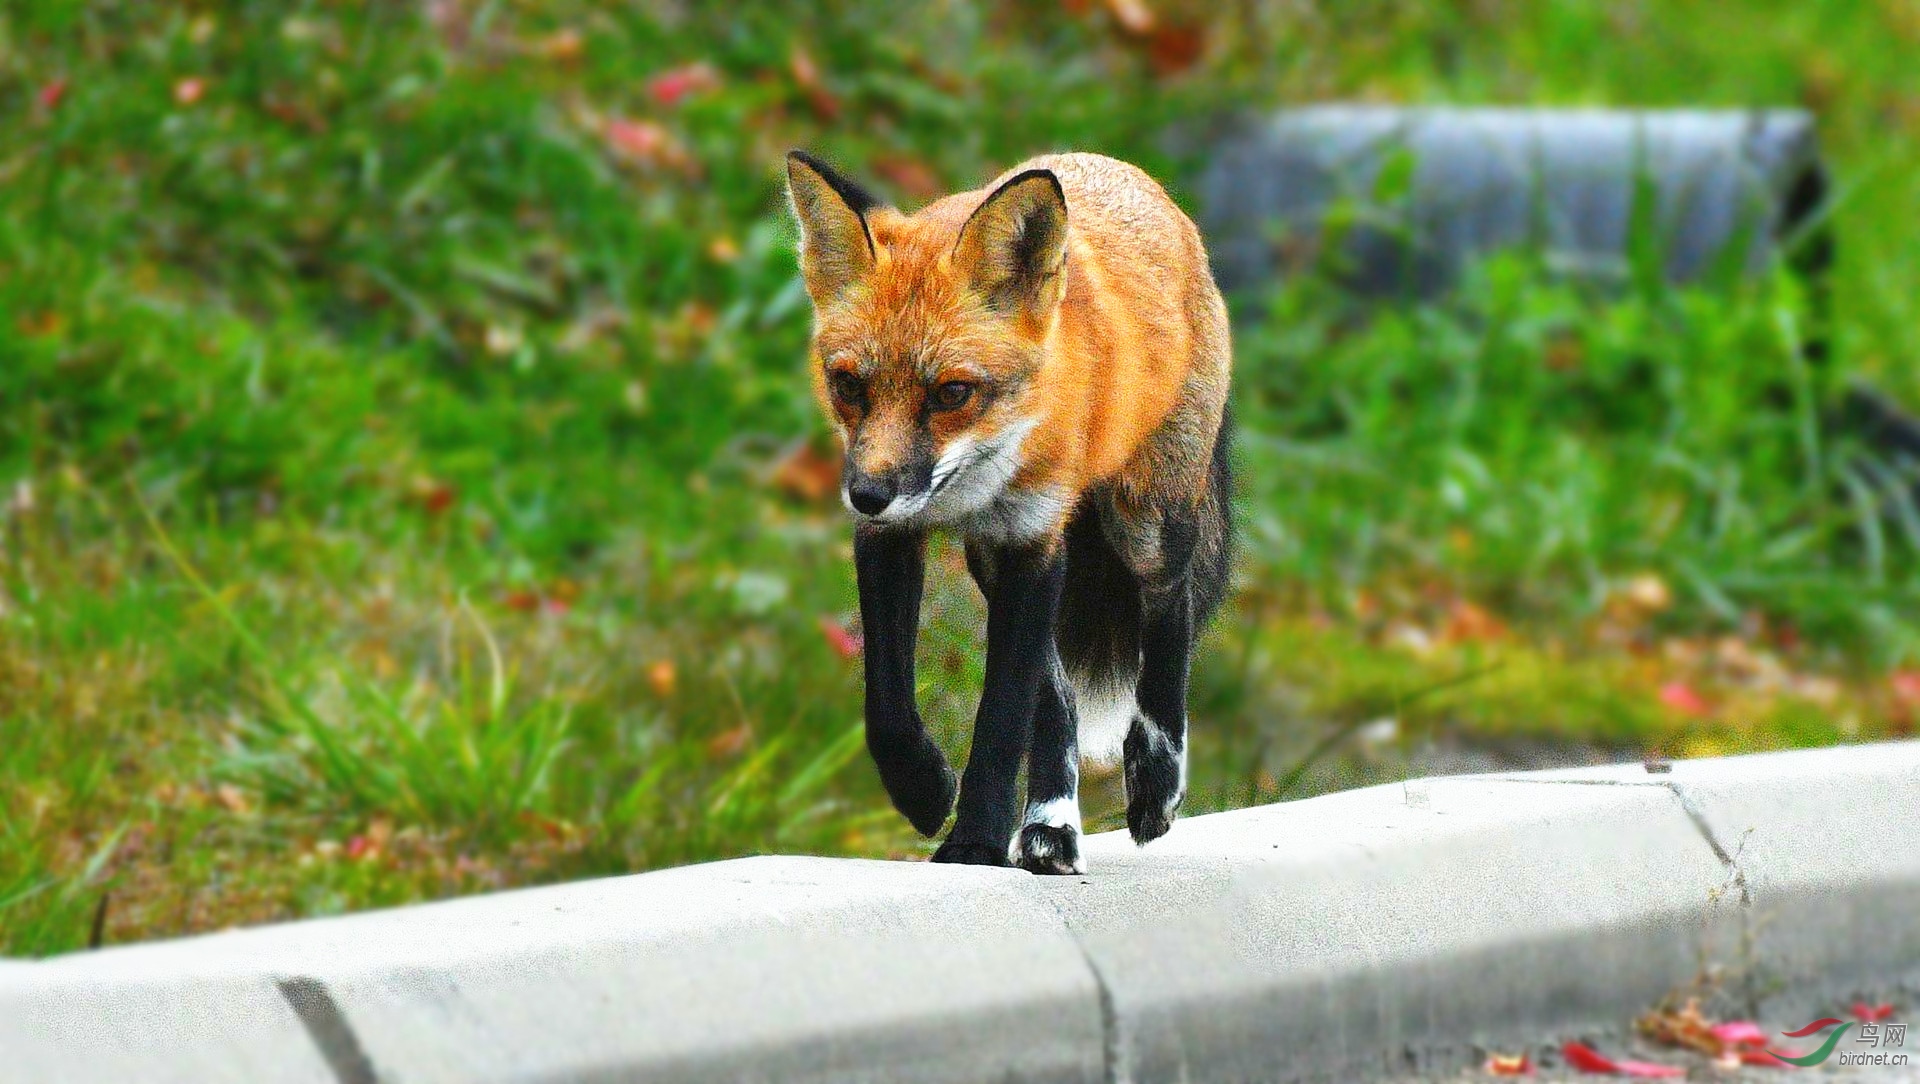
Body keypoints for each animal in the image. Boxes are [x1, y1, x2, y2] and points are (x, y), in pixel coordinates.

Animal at [787, 149, 1236, 871]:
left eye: (952, 393)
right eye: (849, 384)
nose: (867, 494)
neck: (977, 481)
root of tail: (1127, 172)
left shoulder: (1033, 538)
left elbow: (1001, 716)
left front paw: (973, 843)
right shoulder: (901, 539)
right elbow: (888, 704)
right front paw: (924, 790)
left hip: (1146, 524)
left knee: (1171, 612)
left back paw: (1154, 779)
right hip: (993, 564)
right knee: (1060, 702)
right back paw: (1050, 826)